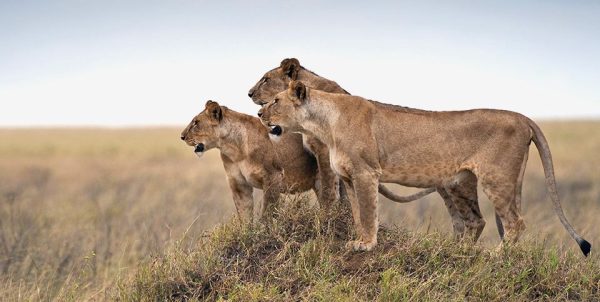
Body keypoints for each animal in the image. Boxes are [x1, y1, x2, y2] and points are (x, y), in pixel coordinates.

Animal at [180, 100, 434, 221]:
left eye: (196, 123)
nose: (181, 136)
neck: (233, 147)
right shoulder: (238, 184)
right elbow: (244, 213)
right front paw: (246, 235)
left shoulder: (273, 177)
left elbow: (268, 211)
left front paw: (263, 231)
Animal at [258, 81, 592, 256]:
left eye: (275, 100)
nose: (260, 114)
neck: (323, 123)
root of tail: (523, 117)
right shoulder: (349, 178)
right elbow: (356, 213)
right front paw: (359, 240)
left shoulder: (366, 173)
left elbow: (368, 212)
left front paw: (367, 245)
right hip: (466, 182)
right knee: (483, 220)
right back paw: (468, 253)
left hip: (496, 178)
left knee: (515, 222)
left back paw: (496, 256)